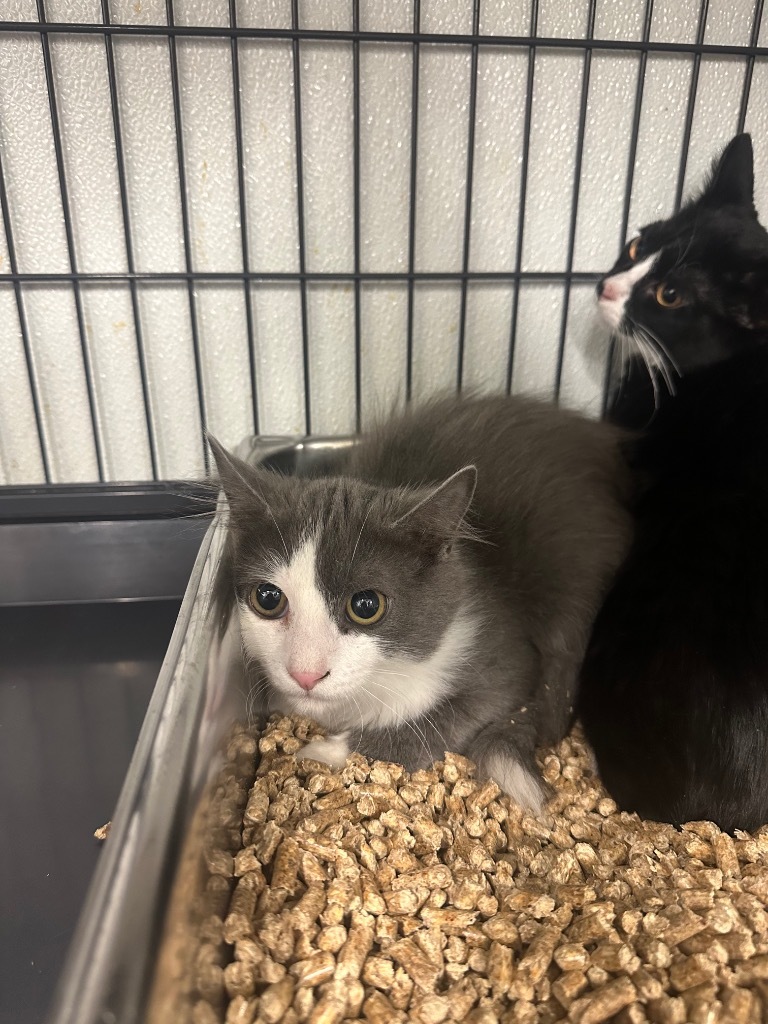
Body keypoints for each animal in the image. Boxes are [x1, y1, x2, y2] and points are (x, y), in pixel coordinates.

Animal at [210, 395, 630, 811]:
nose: (305, 675)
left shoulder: (503, 658)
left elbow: (447, 719)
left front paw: (322, 752)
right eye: (267, 598)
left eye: (366, 606)